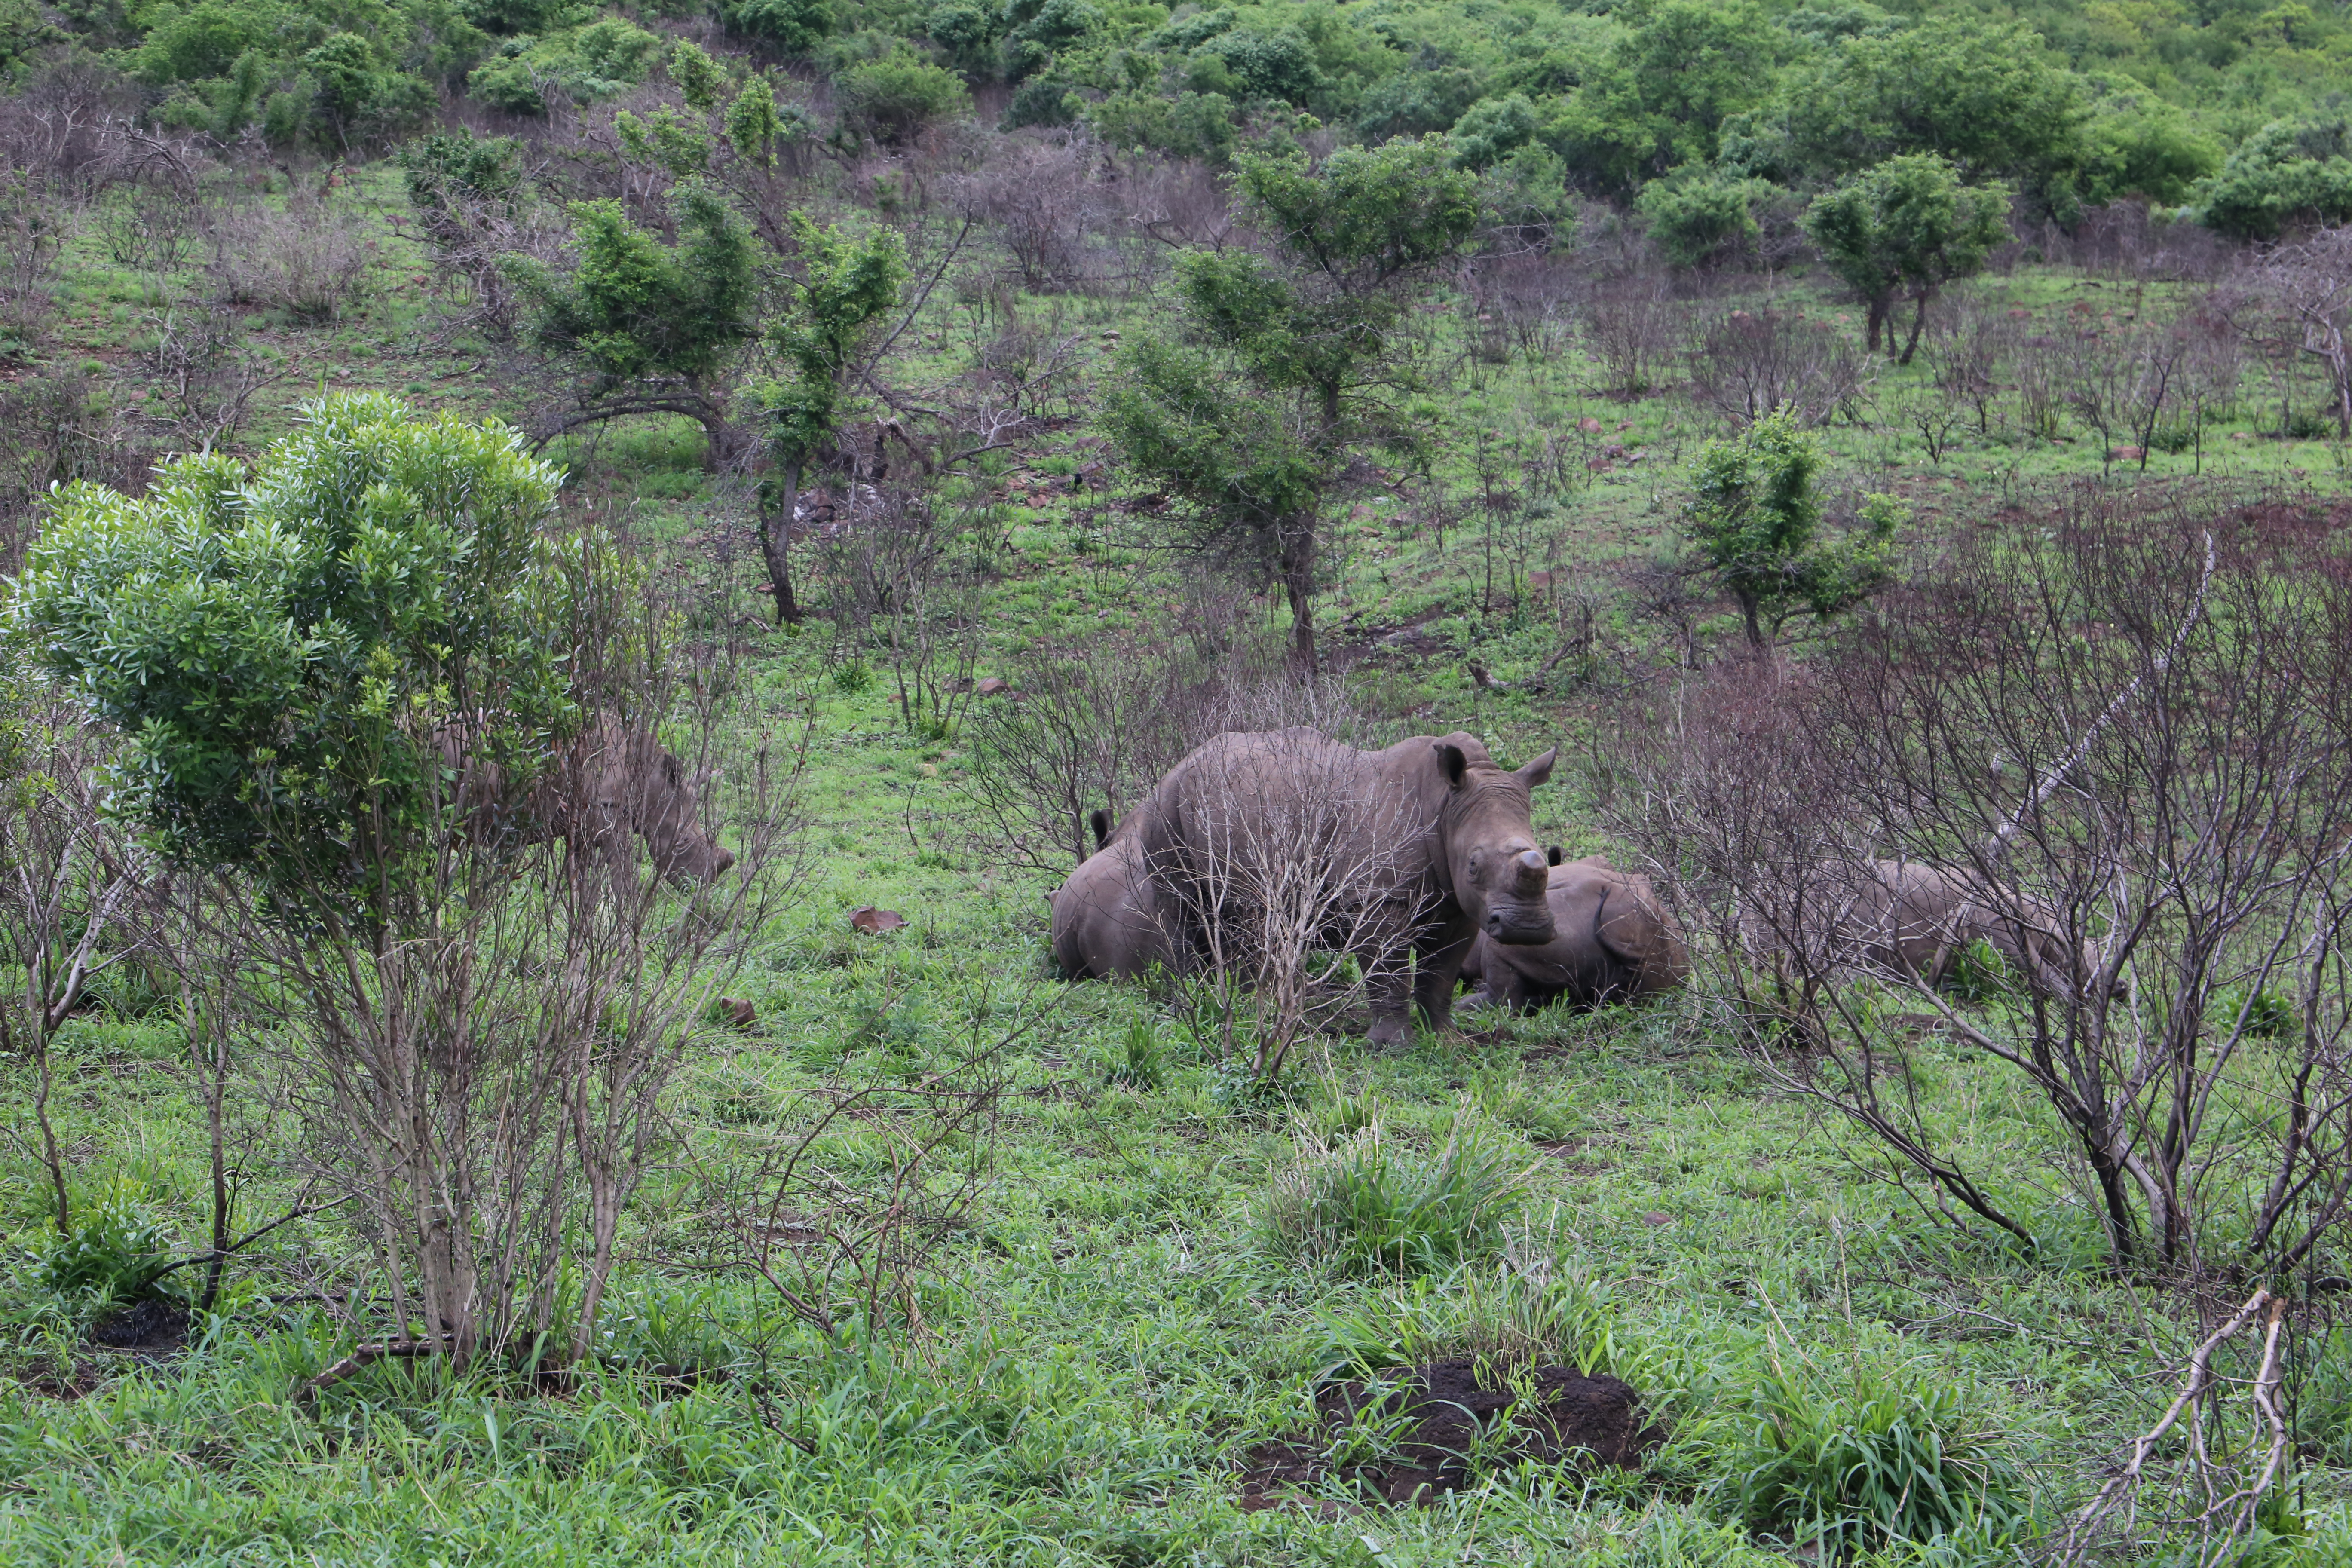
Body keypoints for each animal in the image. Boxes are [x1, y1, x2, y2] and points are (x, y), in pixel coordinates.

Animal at [1063, 729, 1562, 1048]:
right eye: (1474, 863)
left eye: (1545, 853)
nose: (1529, 929)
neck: (1445, 806)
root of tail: (1174, 767)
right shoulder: (1376, 899)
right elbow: (1386, 971)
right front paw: (1392, 1047)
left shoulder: (1459, 907)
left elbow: (1440, 974)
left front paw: (1448, 1040)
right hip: (1166, 810)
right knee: (1183, 907)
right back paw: (1200, 1002)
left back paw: (1245, 1003)